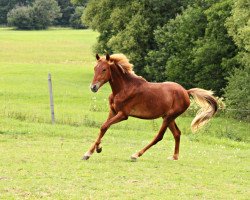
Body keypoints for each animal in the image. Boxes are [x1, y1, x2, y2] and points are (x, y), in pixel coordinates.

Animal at [83, 53, 218, 161]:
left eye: (104, 69)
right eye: (95, 68)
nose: (93, 87)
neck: (123, 89)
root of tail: (186, 91)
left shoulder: (123, 114)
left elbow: (104, 126)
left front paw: (97, 149)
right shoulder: (113, 111)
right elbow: (103, 128)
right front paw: (89, 152)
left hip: (168, 117)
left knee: (159, 136)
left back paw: (136, 155)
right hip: (168, 117)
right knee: (177, 133)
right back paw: (174, 157)